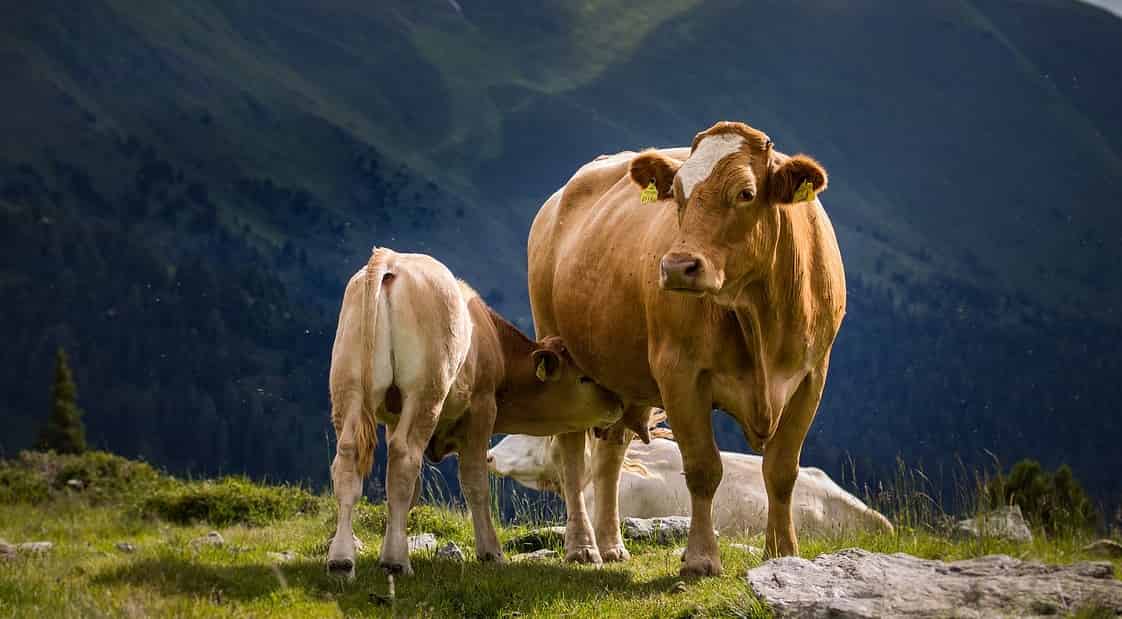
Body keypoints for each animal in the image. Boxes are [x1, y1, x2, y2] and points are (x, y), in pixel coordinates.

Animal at [325, 247, 623, 578]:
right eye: (585, 378)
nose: (618, 403)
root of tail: (391, 260)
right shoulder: (482, 408)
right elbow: (475, 481)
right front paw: (490, 551)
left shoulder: (393, 417)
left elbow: (409, 491)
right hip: (425, 392)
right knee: (404, 457)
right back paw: (396, 562)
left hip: (347, 387)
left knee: (348, 458)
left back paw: (341, 558)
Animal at [527, 119, 843, 574]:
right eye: (676, 193)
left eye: (745, 193)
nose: (678, 267)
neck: (759, 316)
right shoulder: (680, 373)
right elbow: (702, 468)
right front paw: (700, 558)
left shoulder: (811, 377)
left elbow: (782, 470)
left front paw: (783, 553)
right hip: (559, 351)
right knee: (573, 455)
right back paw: (583, 546)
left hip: (620, 378)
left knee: (610, 455)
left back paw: (611, 544)